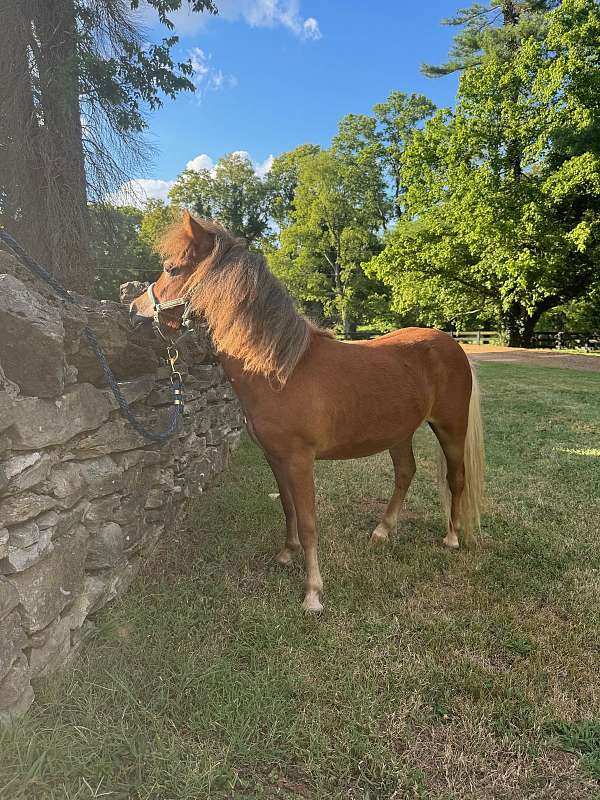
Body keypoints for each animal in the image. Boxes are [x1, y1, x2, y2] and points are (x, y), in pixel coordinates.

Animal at [130, 212, 482, 612]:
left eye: (172, 269)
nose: (134, 310)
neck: (280, 372)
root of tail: (453, 345)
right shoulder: (275, 457)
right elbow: (288, 508)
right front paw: (287, 553)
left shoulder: (300, 460)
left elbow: (310, 521)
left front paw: (313, 591)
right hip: (399, 432)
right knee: (405, 473)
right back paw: (382, 530)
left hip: (451, 427)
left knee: (456, 478)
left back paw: (452, 538)